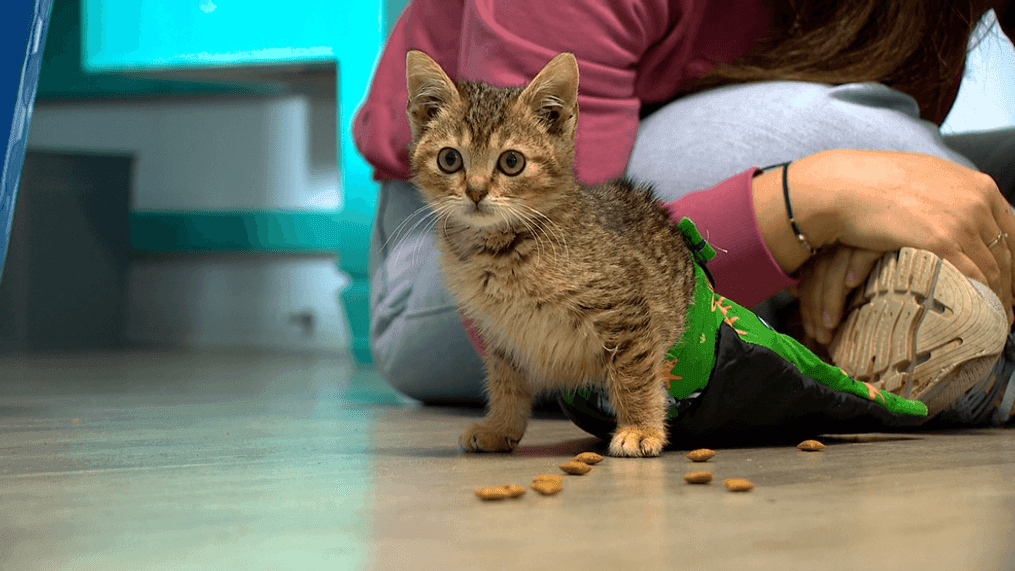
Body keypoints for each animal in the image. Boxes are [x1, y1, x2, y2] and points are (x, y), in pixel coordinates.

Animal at [403, 51, 698, 458]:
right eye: (449, 159)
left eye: (511, 162)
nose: (476, 192)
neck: (504, 252)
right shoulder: (501, 334)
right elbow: (505, 382)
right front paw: (501, 426)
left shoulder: (626, 312)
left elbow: (634, 374)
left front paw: (641, 427)